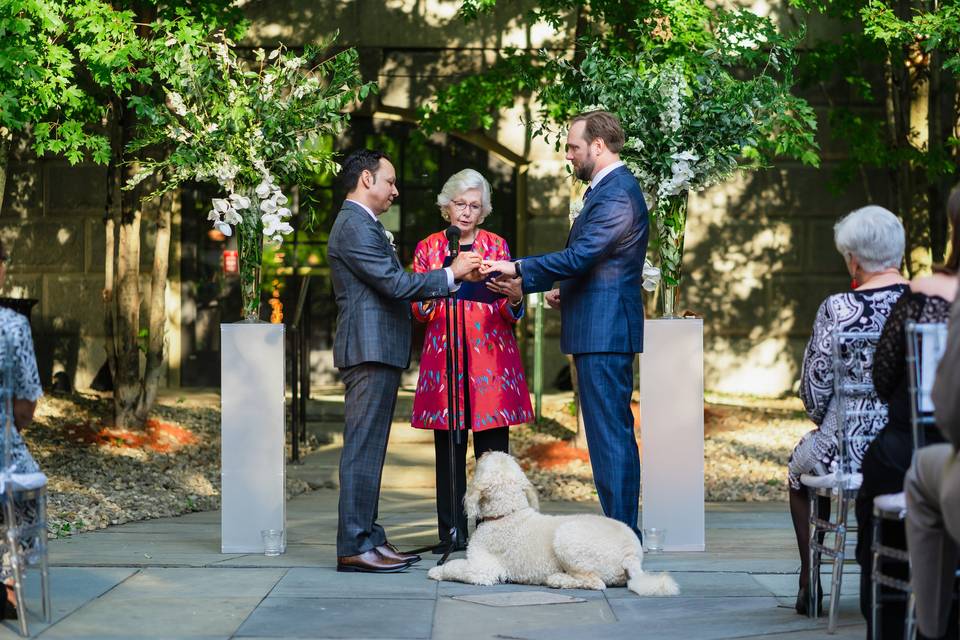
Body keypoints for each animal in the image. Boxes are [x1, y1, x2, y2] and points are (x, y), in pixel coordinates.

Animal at [428, 450, 684, 596]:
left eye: (483, 462)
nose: (483, 451)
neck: (507, 513)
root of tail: (631, 555)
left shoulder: (484, 569)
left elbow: (456, 567)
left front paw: (436, 571)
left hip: (568, 539)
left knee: (595, 583)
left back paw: (557, 579)